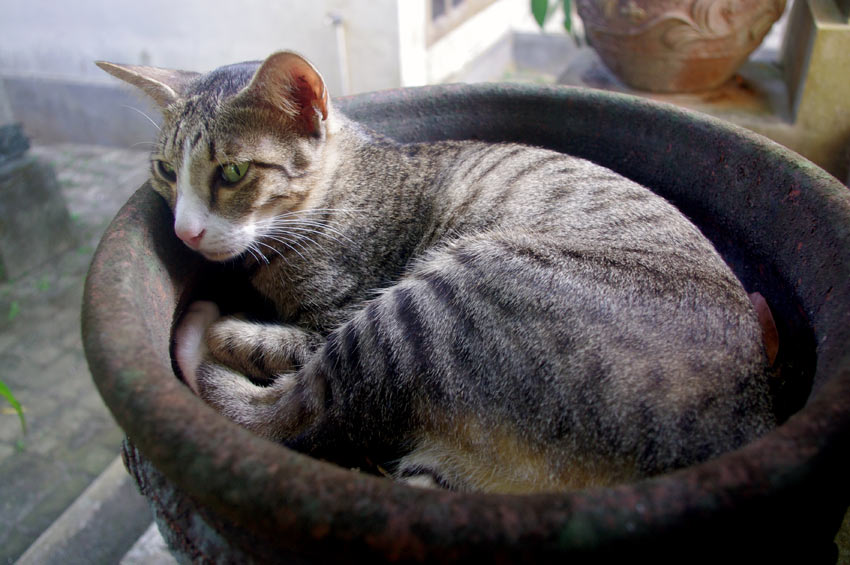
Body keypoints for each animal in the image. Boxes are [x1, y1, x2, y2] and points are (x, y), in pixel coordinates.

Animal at [96, 50, 772, 492]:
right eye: (164, 172)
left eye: (233, 173)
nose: (184, 232)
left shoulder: (340, 312)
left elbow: (289, 351)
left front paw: (230, 327)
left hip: (440, 298)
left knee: (295, 411)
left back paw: (204, 332)